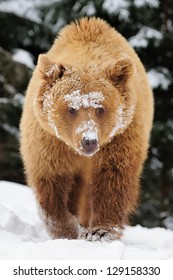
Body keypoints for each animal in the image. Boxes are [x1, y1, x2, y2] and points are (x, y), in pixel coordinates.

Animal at [19, 17, 153, 242]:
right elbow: (51, 183)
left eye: (101, 108)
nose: (88, 140)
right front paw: (65, 229)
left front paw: (99, 231)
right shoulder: (49, 141)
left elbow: (112, 180)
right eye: (71, 108)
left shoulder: (120, 137)